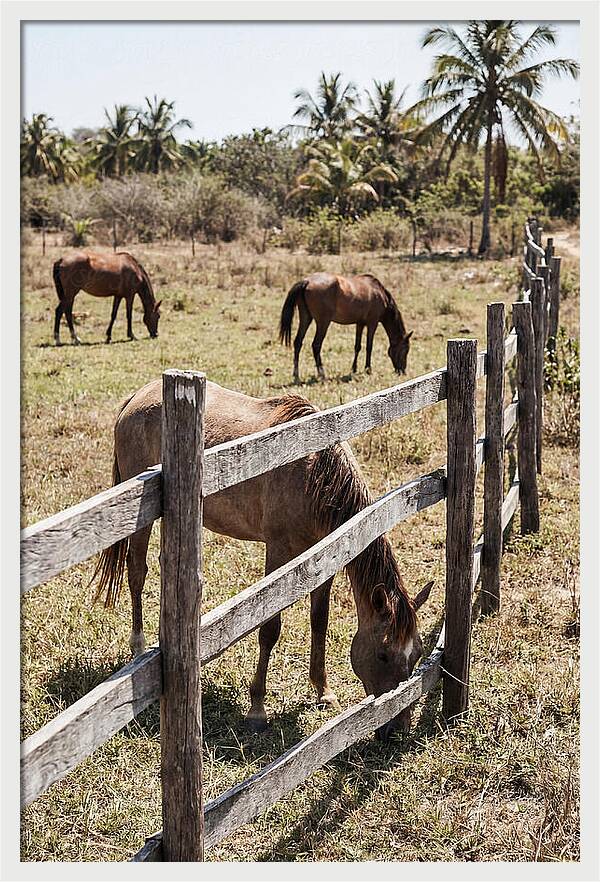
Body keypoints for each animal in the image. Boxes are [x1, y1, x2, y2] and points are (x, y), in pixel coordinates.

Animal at [94, 379, 433, 740]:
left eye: (417, 655)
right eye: (383, 655)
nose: (397, 728)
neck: (314, 473)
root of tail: (137, 396)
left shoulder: (325, 555)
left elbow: (319, 621)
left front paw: (322, 691)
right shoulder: (278, 551)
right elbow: (270, 628)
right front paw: (257, 708)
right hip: (139, 518)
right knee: (136, 573)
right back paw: (139, 646)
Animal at [279, 272, 413, 383]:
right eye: (405, 349)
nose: (402, 371)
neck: (379, 293)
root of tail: (307, 281)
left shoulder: (360, 324)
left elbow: (357, 346)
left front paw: (354, 369)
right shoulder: (372, 323)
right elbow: (369, 347)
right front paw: (368, 369)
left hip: (306, 318)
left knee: (298, 342)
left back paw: (296, 375)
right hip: (323, 323)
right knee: (316, 345)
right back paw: (321, 374)